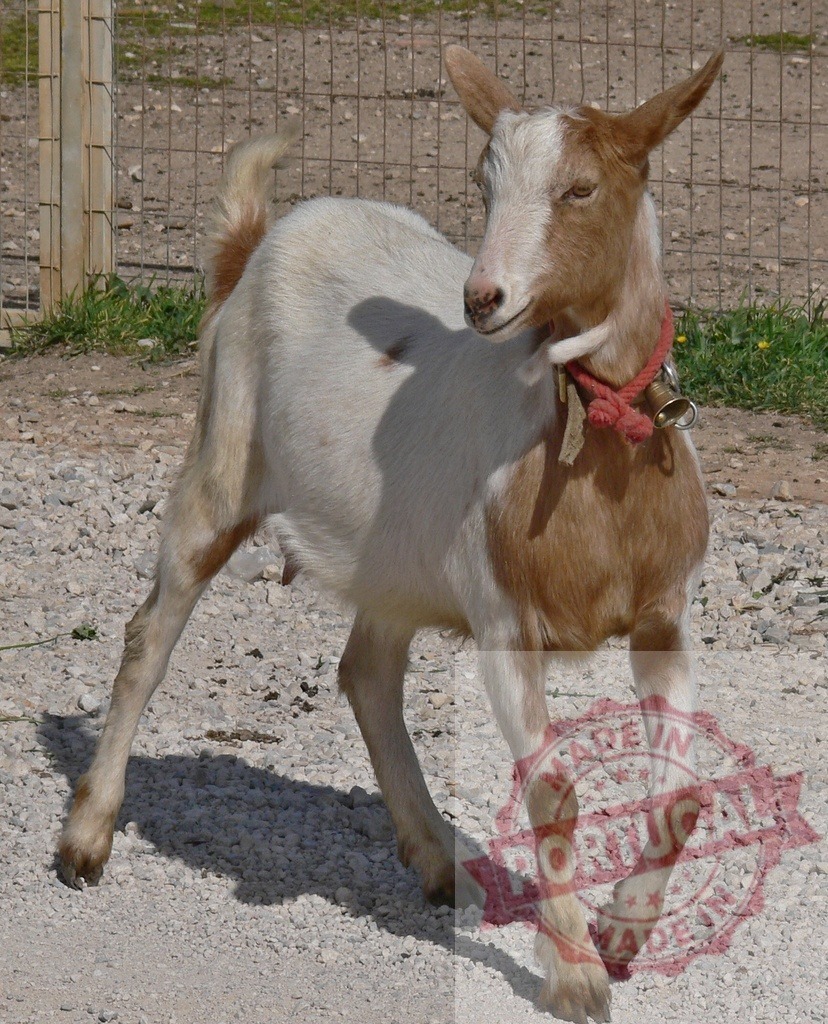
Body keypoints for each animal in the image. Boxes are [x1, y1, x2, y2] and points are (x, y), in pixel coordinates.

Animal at [59, 46, 723, 1023]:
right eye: (484, 182)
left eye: (581, 188)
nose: (483, 298)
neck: (592, 460)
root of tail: (259, 242)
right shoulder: (504, 623)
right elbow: (553, 792)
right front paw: (574, 974)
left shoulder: (664, 616)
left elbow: (682, 796)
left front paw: (622, 933)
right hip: (221, 457)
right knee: (152, 632)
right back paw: (86, 838)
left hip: (393, 555)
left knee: (367, 671)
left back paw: (440, 857)